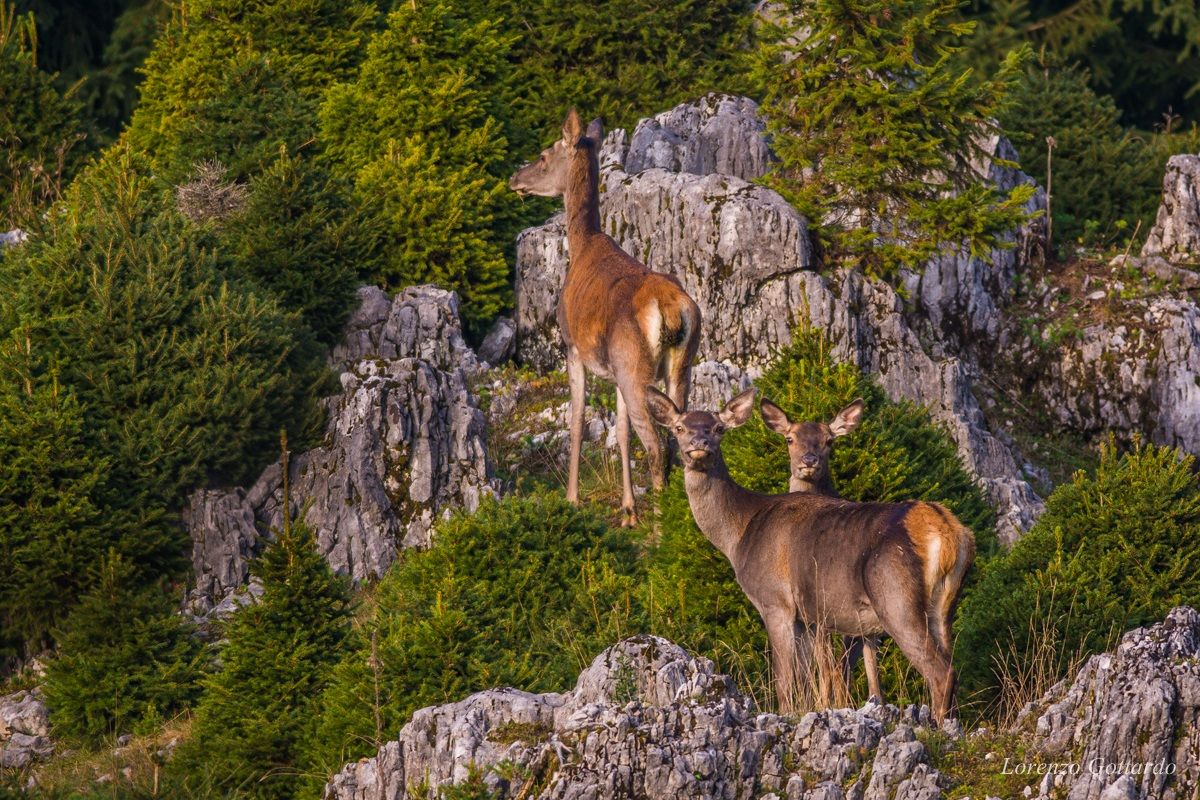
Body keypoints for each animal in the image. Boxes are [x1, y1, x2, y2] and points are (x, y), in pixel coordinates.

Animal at [509, 109, 702, 526]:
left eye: (545, 155)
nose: (515, 178)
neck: (582, 245)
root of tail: (672, 310)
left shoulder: (572, 347)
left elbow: (577, 422)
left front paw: (571, 499)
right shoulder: (614, 370)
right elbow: (622, 432)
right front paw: (628, 509)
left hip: (635, 368)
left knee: (657, 447)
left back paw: (661, 527)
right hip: (679, 365)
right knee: (676, 438)